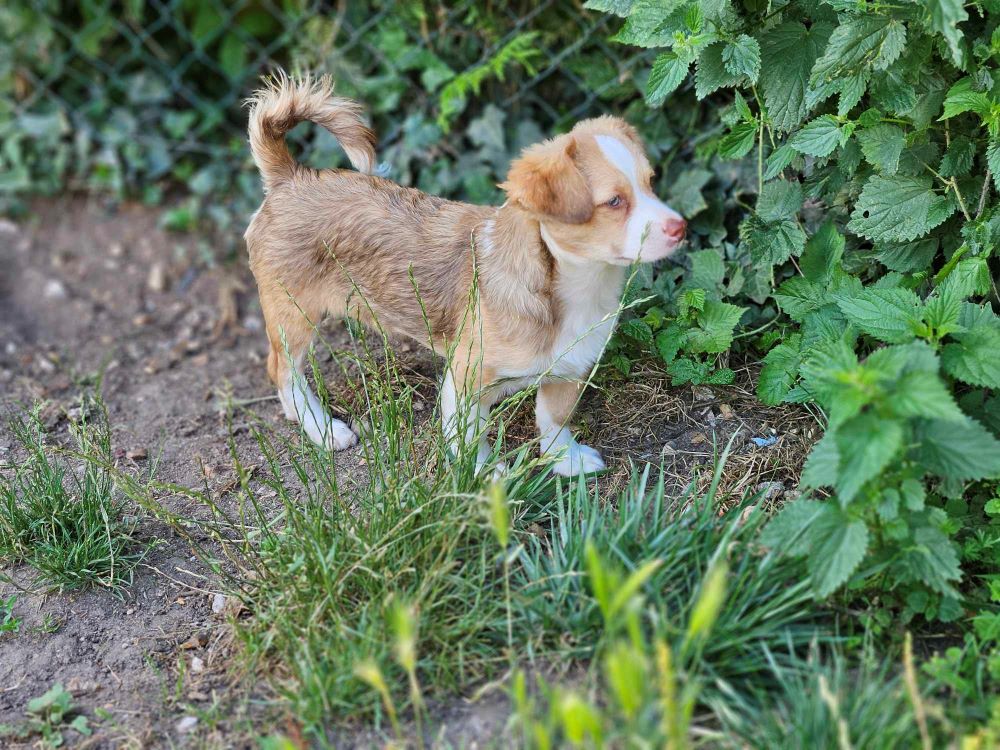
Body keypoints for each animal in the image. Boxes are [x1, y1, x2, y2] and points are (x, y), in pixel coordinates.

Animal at [242, 75, 684, 476]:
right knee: (283, 371)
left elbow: (553, 420)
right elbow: (472, 435)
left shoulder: (569, 368)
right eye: (614, 202)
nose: (681, 227)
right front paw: (487, 475)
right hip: (293, 316)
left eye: (651, 183)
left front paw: (566, 460)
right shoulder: (466, 379)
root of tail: (290, 177)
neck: (577, 289)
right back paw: (322, 429)